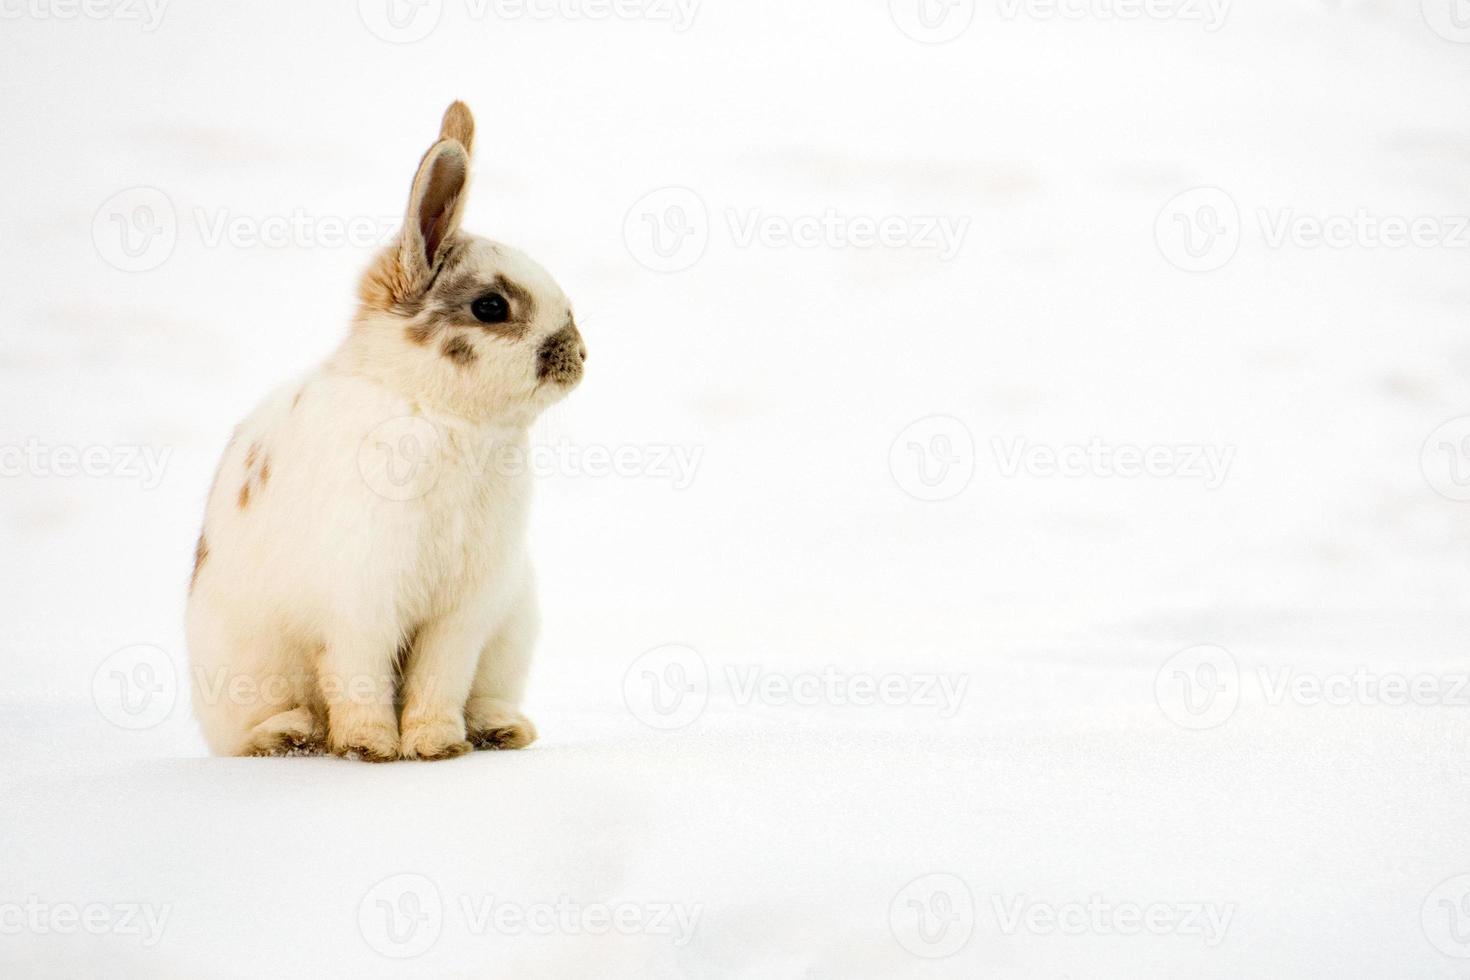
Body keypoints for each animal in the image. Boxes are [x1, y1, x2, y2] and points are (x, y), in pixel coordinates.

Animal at [177, 99, 579, 764]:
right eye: (491, 307)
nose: (579, 356)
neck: (436, 412)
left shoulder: (464, 612)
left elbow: (440, 677)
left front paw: (436, 744)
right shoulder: (360, 599)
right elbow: (358, 675)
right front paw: (371, 747)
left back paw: (502, 730)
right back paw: (290, 736)